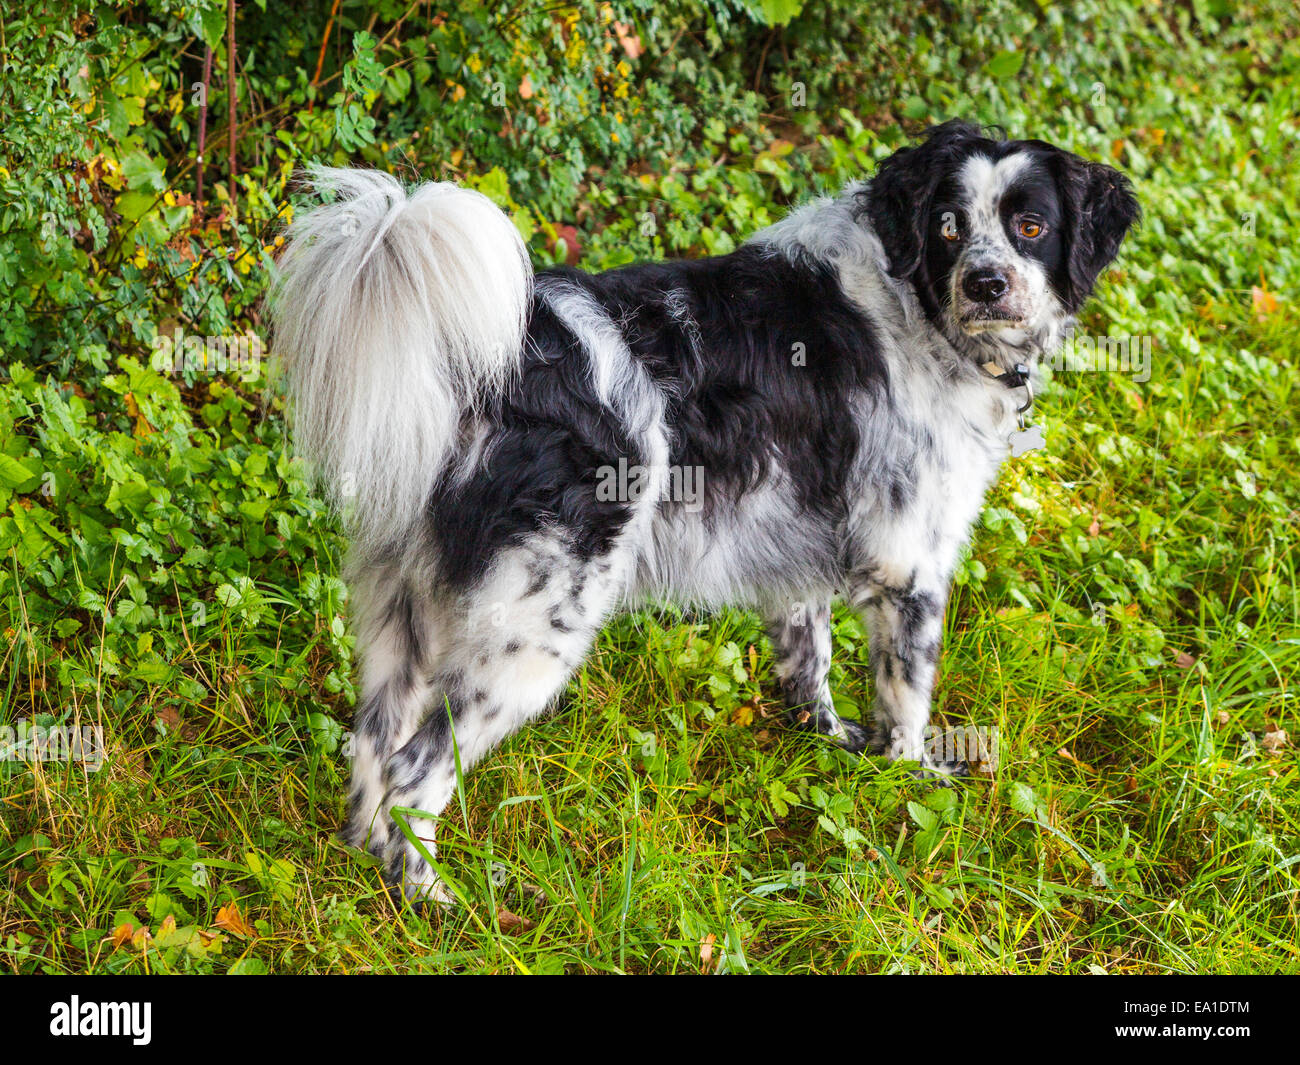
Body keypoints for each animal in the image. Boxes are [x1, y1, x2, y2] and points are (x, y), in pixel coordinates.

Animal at [269, 120, 1133, 899]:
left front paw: (829, 741)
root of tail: (496, 368)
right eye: (949, 225)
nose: (986, 284)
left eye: (1030, 225)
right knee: (415, 773)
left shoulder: (798, 546)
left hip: (402, 614)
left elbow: (809, 662)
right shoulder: (908, 566)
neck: (912, 302)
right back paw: (434, 899)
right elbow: (907, 704)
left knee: (371, 756)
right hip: (528, 636)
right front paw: (910, 782)